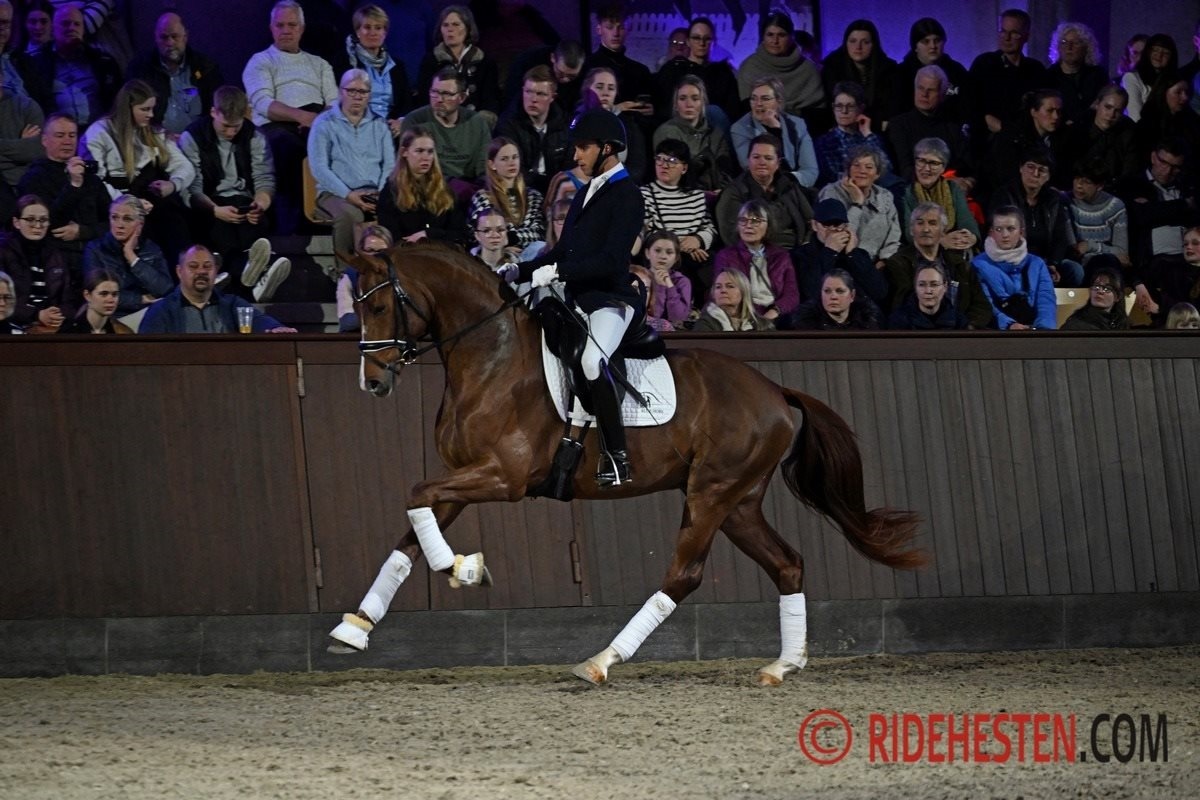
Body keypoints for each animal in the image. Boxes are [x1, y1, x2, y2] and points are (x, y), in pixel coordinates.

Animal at [329, 242, 924, 685]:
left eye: (378, 307)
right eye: (357, 306)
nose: (372, 382)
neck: (491, 357)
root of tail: (776, 391)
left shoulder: (504, 476)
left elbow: (415, 497)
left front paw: (465, 570)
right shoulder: (462, 477)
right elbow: (412, 526)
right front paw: (356, 627)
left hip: (713, 495)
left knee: (684, 575)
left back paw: (601, 661)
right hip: (737, 503)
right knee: (787, 564)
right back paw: (783, 665)